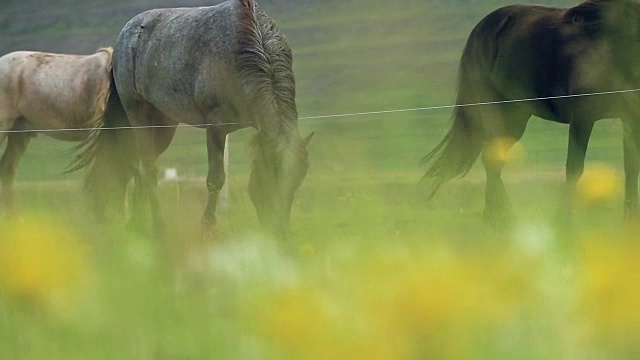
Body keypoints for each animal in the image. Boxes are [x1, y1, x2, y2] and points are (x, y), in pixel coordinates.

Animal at [77, 0, 312, 242]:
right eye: (271, 177)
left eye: (296, 181)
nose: (281, 232)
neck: (246, 48)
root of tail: (126, 34)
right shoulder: (216, 128)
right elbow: (215, 179)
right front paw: (207, 226)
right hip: (138, 116)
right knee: (148, 170)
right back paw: (158, 227)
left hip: (163, 126)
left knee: (138, 167)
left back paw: (137, 224)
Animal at [422, 0, 640, 226]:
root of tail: (479, 30)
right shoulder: (582, 117)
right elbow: (574, 168)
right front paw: (564, 221)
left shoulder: (631, 118)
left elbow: (631, 167)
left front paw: (629, 221)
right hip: (498, 113)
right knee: (492, 159)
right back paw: (501, 218)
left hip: (516, 117)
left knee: (494, 160)